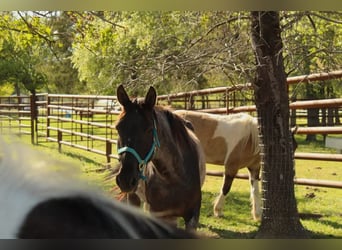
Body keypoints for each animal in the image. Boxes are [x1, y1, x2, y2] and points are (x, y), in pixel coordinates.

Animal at [115, 86, 206, 230]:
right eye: (118, 128)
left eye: (149, 129)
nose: (125, 179)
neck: (174, 179)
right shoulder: (160, 215)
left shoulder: (192, 217)